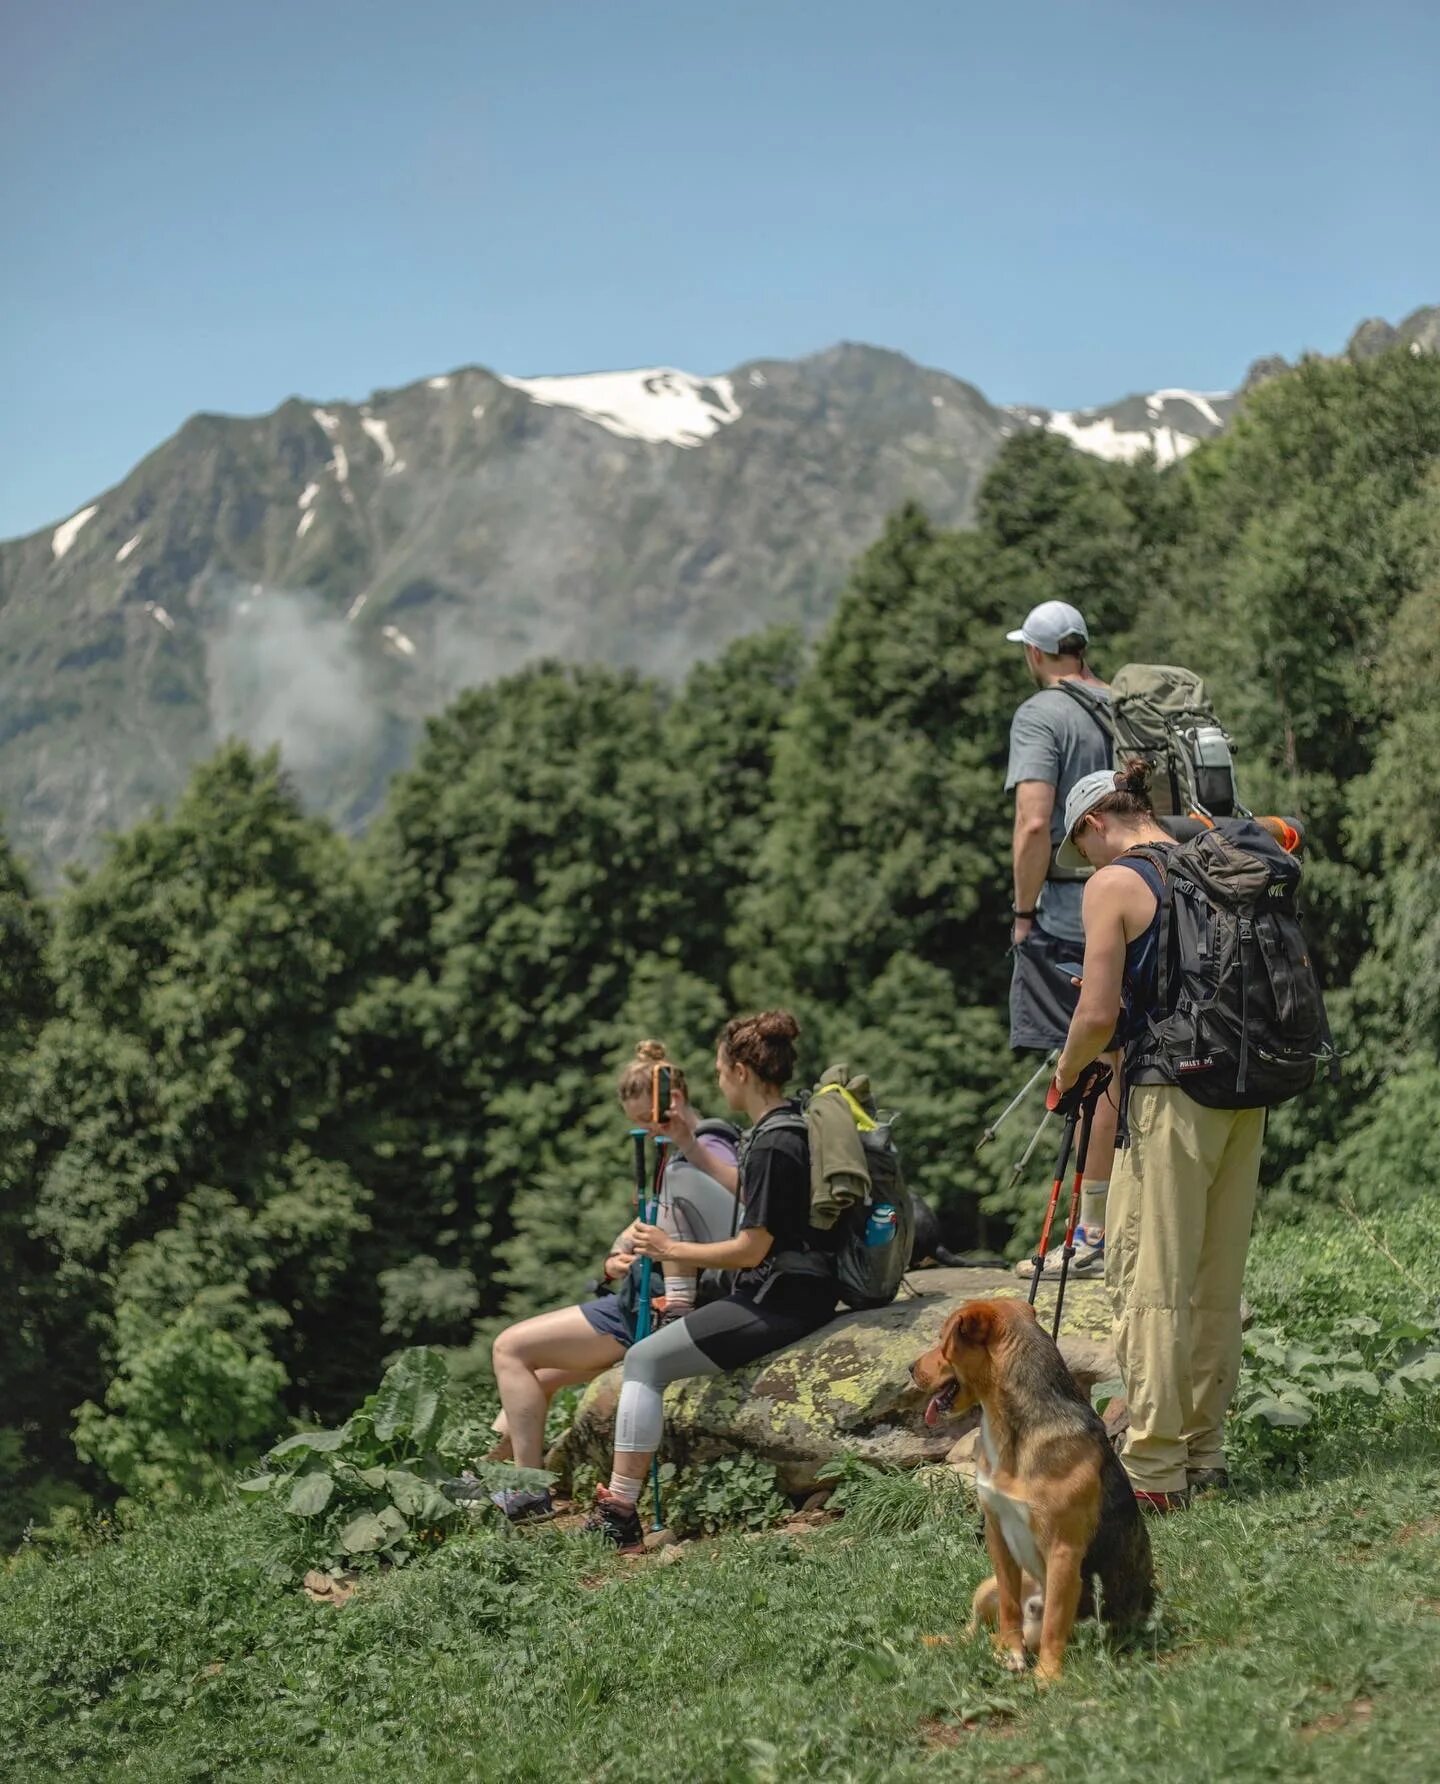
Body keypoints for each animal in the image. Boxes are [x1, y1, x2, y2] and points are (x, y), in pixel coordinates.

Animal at [920, 1305, 1156, 1676]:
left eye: (942, 1339)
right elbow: (1009, 1608)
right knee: (973, 1631)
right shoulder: (997, 1535)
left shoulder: (1063, 1552)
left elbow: (1054, 1627)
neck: (1011, 1434)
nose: (909, 1368)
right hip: (985, 1587)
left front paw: (1046, 1678)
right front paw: (1013, 1652)